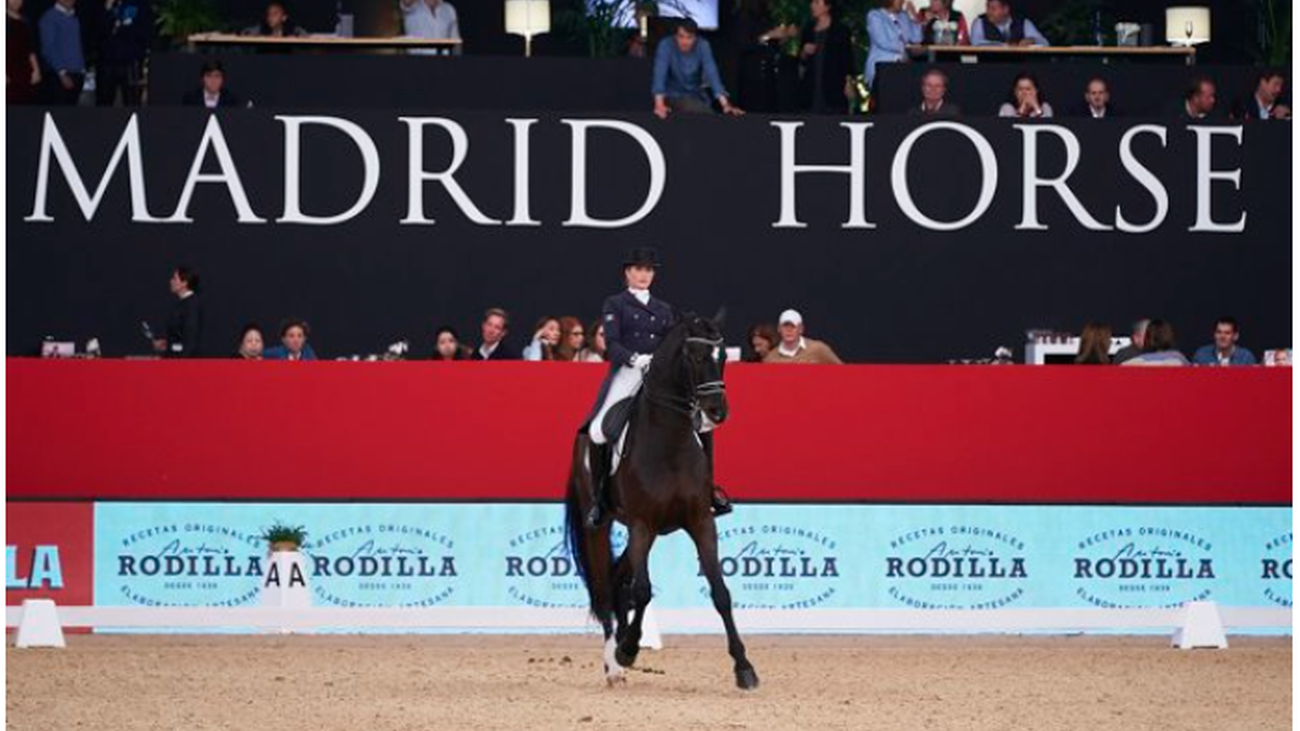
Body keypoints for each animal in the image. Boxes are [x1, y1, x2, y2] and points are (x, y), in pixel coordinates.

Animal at [564, 311, 759, 690]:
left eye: (722, 357)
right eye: (695, 357)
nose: (717, 411)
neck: (669, 441)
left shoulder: (700, 521)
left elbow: (720, 592)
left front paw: (744, 667)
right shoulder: (642, 524)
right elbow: (643, 591)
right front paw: (627, 650)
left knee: (617, 579)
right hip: (602, 525)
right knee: (606, 587)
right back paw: (614, 664)